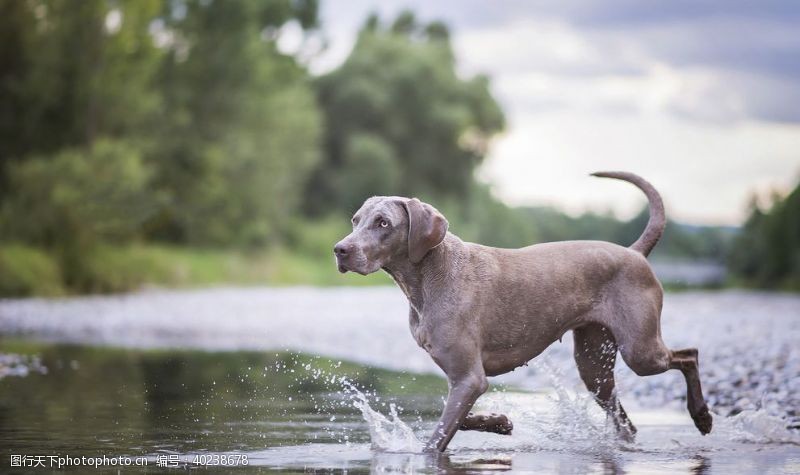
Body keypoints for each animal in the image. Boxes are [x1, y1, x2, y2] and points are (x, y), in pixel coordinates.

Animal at [332, 172, 712, 454]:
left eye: (383, 223)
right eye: (355, 220)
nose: (340, 249)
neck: (426, 278)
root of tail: (634, 252)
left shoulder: (469, 377)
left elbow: (436, 439)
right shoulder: (464, 379)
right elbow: (457, 417)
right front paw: (500, 422)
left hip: (640, 350)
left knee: (689, 354)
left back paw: (702, 416)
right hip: (594, 364)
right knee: (626, 422)